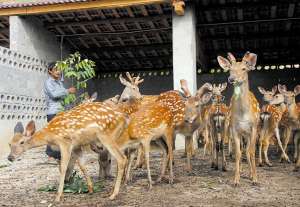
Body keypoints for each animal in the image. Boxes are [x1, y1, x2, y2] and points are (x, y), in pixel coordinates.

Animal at [218, 51, 260, 184]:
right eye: (230, 69)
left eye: (244, 68)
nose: (232, 79)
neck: (243, 114)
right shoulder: (235, 129)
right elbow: (237, 153)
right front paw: (236, 180)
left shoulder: (254, 128)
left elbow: (251, 151)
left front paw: (255, 178)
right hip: (236, 130)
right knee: (242, 150)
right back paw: (241, 171)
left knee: (247, 150)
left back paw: (250, 174)